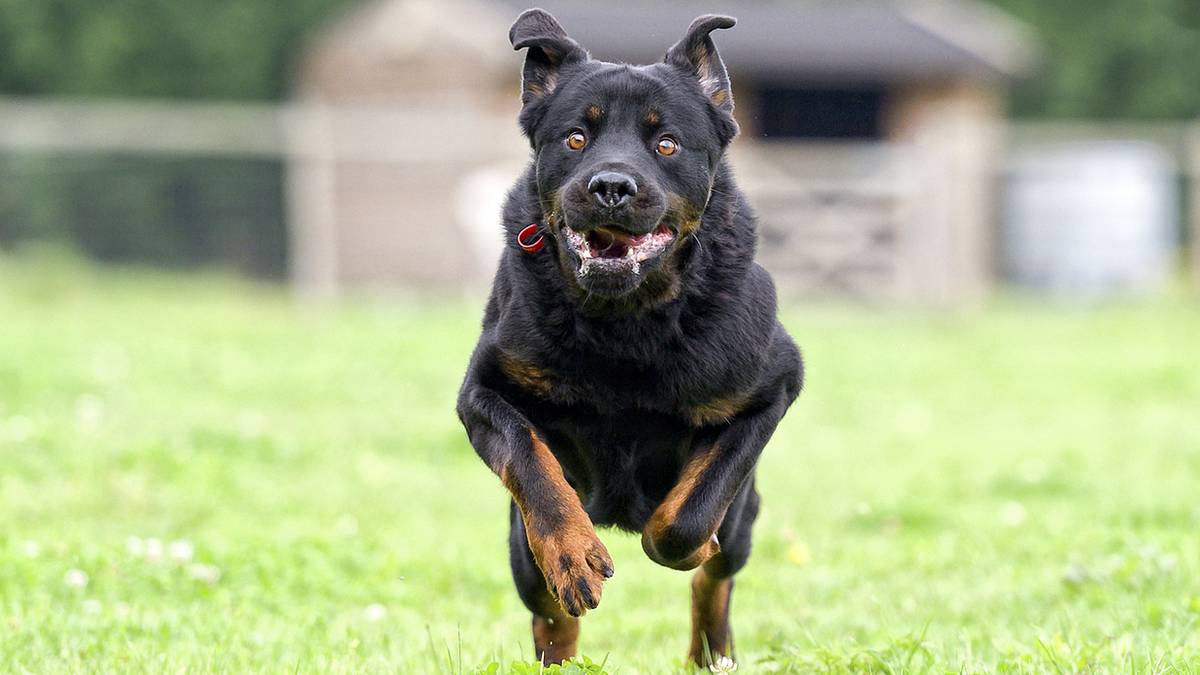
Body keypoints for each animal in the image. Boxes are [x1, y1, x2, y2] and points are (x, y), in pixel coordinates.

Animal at [458, 7, 806, 662]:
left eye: (666, 143)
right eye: (575, 138)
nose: (611, 187)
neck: (625, 319)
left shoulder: (771, 389)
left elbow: (685, 521)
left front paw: (685, 544)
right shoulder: (484, 391)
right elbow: (531, 462)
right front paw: (573, 555)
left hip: (744, 518)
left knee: (717, 576)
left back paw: (710, 654)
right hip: (517, 546)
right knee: (547, 606)